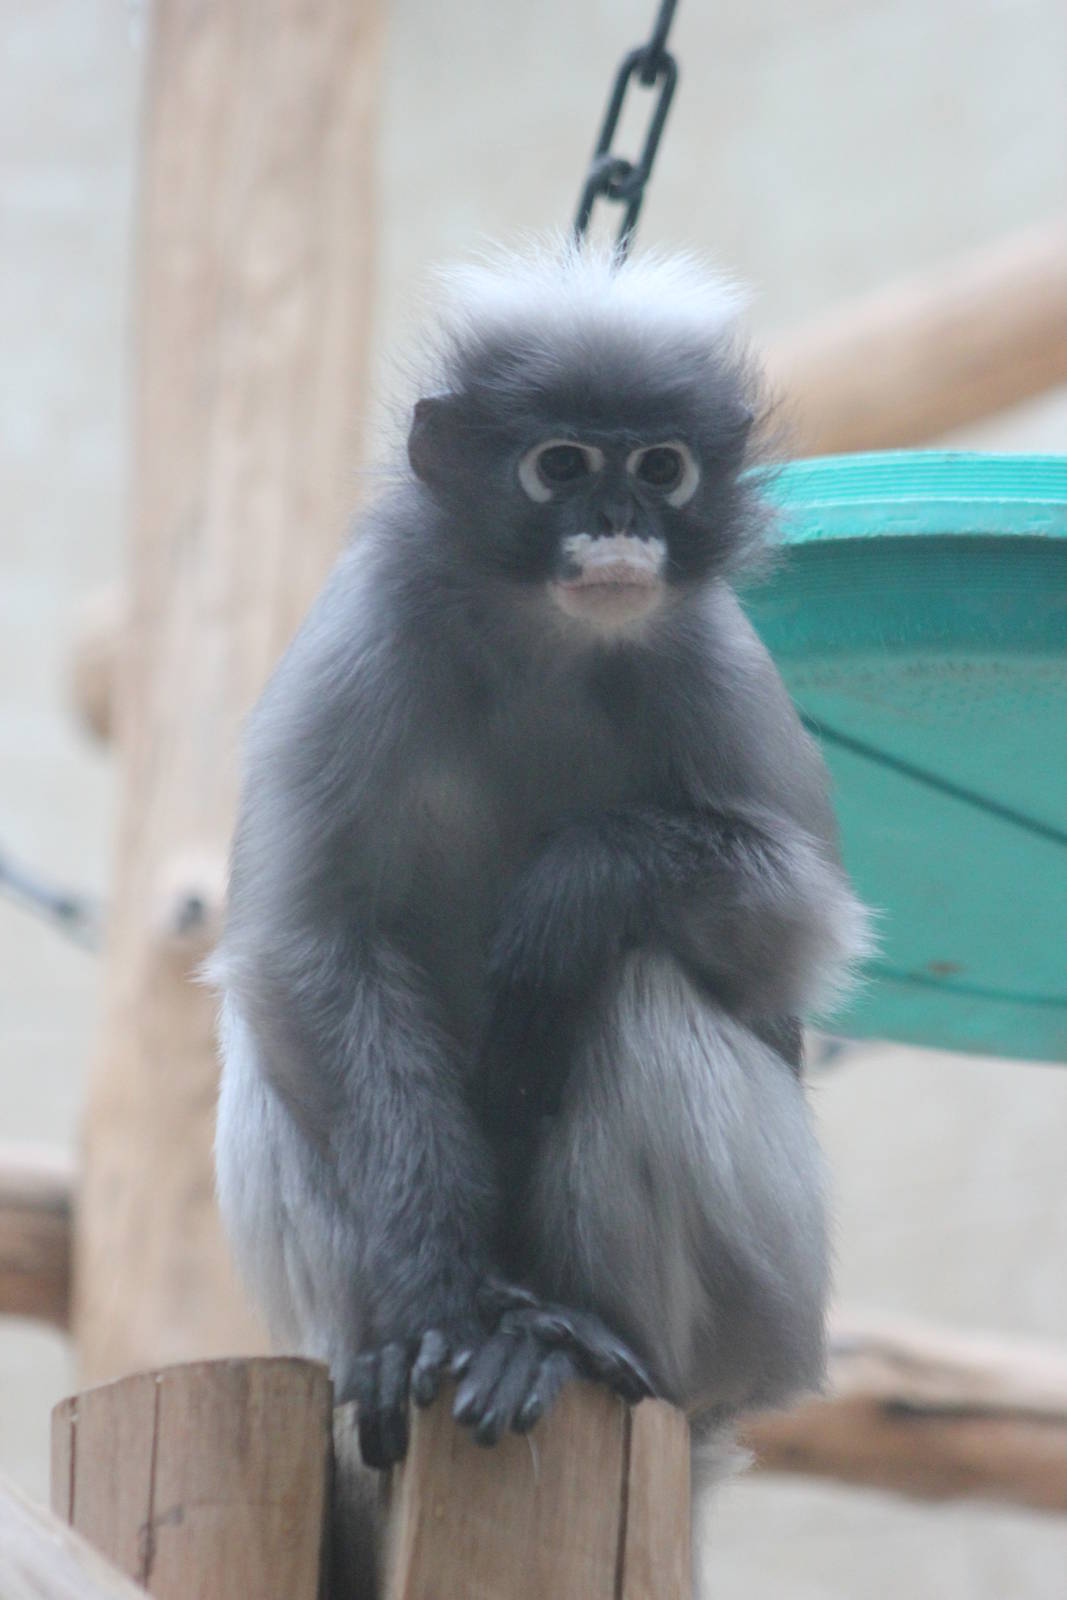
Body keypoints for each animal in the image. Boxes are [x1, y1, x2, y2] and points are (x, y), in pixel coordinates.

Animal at [213, 241, 872, 1555]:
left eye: (659, 468)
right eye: (560, 465)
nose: (618, 522)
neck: (543, 642)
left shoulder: (716, 659)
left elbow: (802, 940)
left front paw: (575, 889)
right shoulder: (361, 630)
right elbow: (305, 942)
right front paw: (434, 1303)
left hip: (771, 1302)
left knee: (636, 991)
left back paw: (576, 1340)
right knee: (268, 1036)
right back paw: (413, 1343)